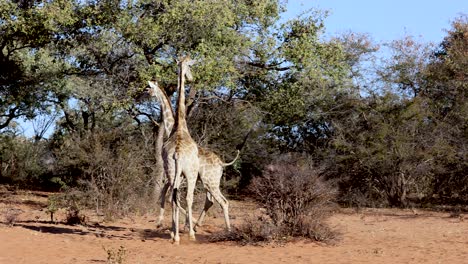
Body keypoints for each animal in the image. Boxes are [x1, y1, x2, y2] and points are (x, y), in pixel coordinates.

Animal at [147, 80, 241, 231]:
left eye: (148, 88)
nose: (145, 94)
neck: (172, 129)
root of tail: (222, 163)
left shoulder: (176, 175)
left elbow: (170, 197)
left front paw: (169, 222)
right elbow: (169, 196)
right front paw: (175, 223)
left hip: (210, 181)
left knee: (223, 201)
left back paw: (227, 229)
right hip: (209, 182)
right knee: (210, 201)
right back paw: (198, 224)